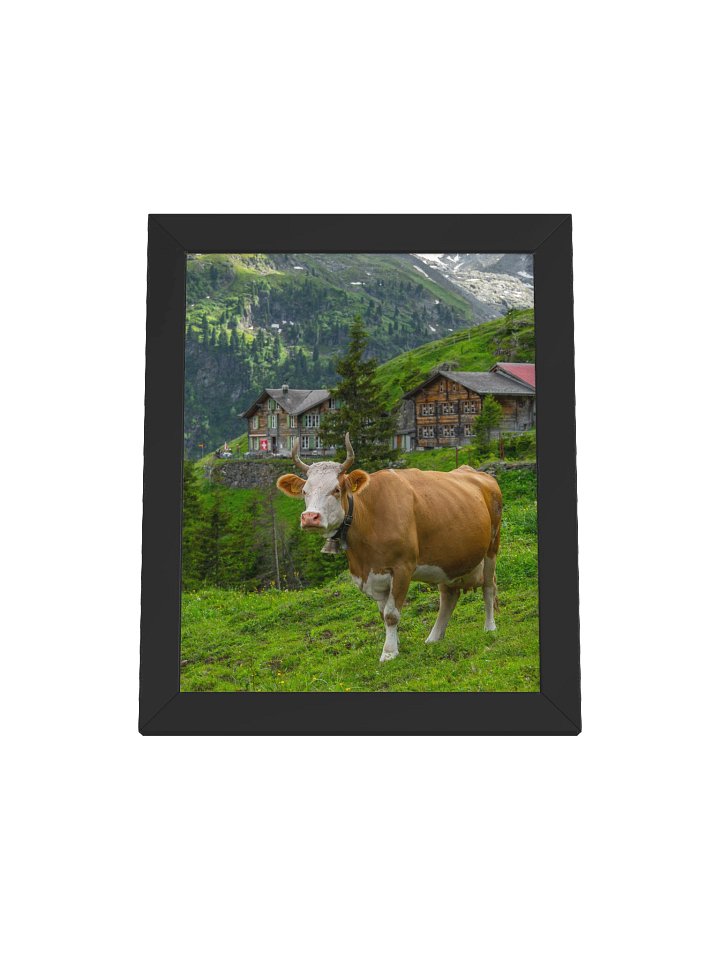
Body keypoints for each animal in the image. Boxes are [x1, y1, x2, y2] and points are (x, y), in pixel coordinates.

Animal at [276, 434, 502, 662]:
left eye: (336, 490)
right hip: (449, 559)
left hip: (492, 547)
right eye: (305, 491)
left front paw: (389, 652)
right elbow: (383, 613)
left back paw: (490, 626)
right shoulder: (374, 575)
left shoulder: (403, 567)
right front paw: (395, 644)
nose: (310, 517)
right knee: (448, 595)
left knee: (489, 585)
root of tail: (474, 472)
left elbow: (391, 614)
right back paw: (434, 637)